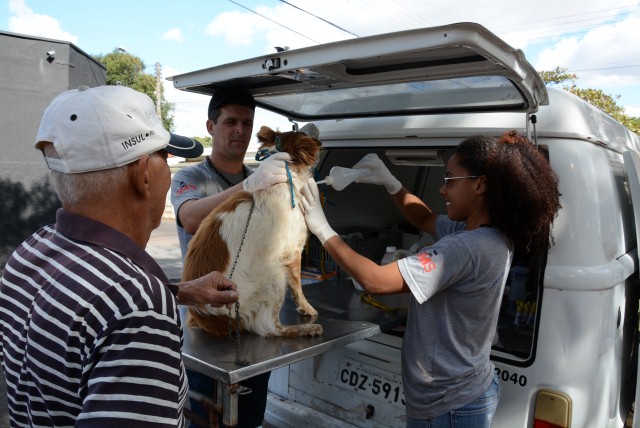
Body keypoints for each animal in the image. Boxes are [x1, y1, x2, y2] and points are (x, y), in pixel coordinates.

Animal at [181, 124, 322, 338]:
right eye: (303, 133)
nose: (313, 125)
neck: (283, 180)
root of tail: (209, 316)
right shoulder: (292, 252)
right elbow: (298, 287)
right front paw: (307, 308)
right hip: (275, 274)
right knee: (270, 328)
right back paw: (305, 329)